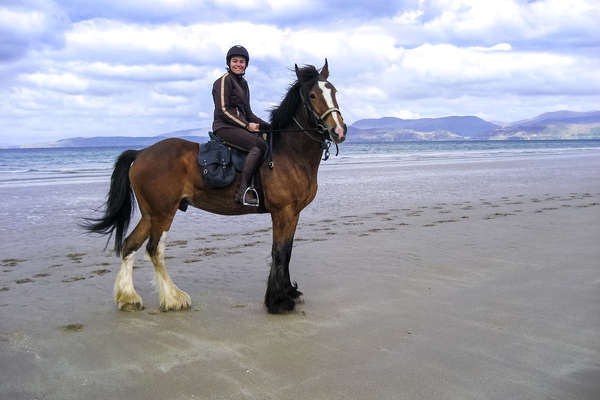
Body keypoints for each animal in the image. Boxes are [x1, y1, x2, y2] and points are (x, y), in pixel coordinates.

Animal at [84, 61, 346, 314]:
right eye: (312, 95)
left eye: (333, 91)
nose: (339, 131)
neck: (288, 153)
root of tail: (141, 153)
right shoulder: (283, 212)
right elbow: (280, 252)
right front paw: (278, 301)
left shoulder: (293, 213)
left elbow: (287, 251)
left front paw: (288, 292)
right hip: (163, 213)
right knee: (154, 249)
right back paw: (173, 298)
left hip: (151, 213)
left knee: (130, 245)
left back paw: (129, 298)